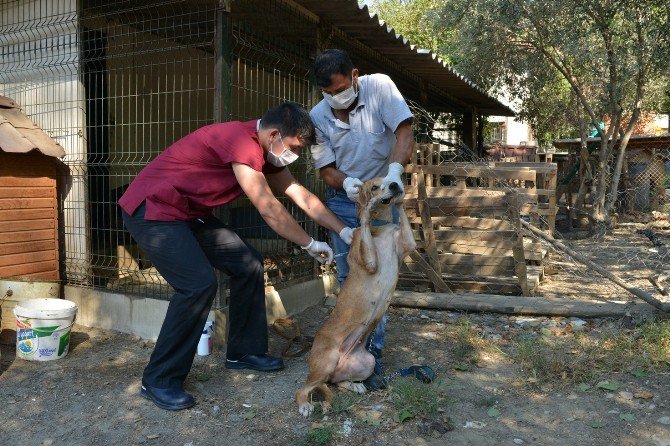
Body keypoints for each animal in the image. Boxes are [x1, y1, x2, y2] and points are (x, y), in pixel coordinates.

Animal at [298, 176, 418, 416]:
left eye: (388, 179)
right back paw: (305, 404)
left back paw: (354, 386)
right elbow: (362, 224)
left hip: (367, 362)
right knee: (305, 387)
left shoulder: (408, 245)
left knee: (332, 381)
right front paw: (367, 209)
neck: (381, 228)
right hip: (327, 361)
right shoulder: (370, 263)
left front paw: (400, 197)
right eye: (374, 186)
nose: (394, 185)